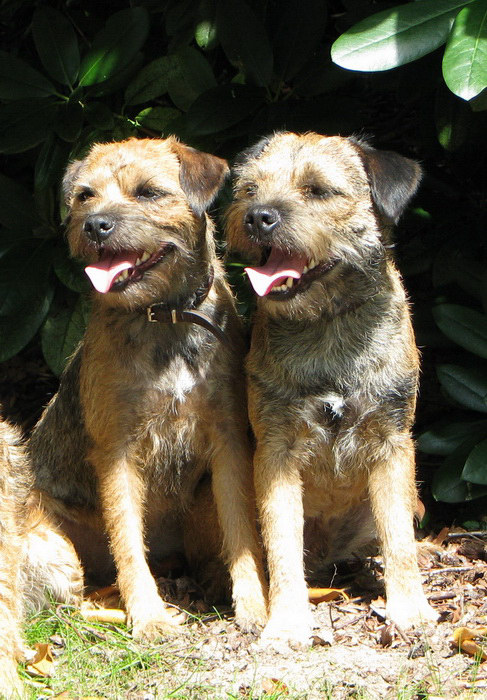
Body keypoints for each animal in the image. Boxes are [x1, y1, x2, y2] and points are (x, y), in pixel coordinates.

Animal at [28, 137, 268, 641]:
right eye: (85, 196)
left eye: (148, 193)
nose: (94, 224)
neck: (163, 318)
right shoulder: (117, 450)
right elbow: (126, 540)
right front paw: (149, 616)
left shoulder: (229, 443)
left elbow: (242, 533)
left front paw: (255, 605)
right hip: (55, 543)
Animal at [226, 131, 438, 645]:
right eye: (249, 189)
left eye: (319, 191)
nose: (257, 215)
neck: (325, 326)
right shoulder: (277, 451)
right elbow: (282, 543)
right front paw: (287, 622)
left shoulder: (391, 443)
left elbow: (397, 536)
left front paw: (410, 609)